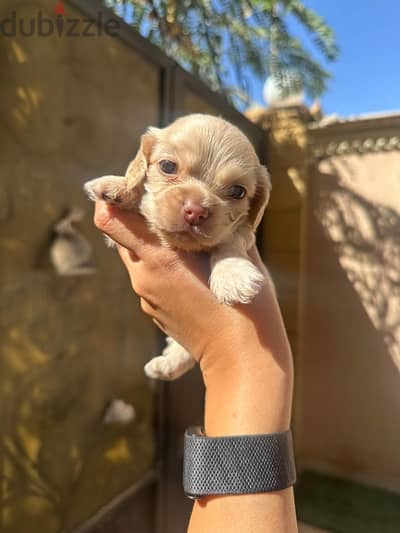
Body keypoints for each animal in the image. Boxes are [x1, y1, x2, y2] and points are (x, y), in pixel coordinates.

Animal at [85, 113, 272, 378]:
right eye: (168, 166)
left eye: (238, 191)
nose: (195, 211)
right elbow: (142, 198)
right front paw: (119, 187)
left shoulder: (244, 233)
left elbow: (229, 242)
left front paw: (232, 276)